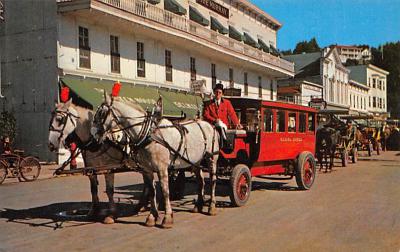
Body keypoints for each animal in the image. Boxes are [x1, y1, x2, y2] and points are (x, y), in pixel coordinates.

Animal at [92, 92, 220, 228]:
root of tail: (209, 125)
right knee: (201, 181)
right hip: (196, 161)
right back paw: (198, 205)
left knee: (213, 180)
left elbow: (165, 191)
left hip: (212, 158)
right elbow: (152, 191)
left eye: (101, 113)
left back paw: (211, 206)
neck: (149, 134)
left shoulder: (162, 169)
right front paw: (152, 217)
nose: (94, 134)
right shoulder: (147, 169)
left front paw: (167, 218)